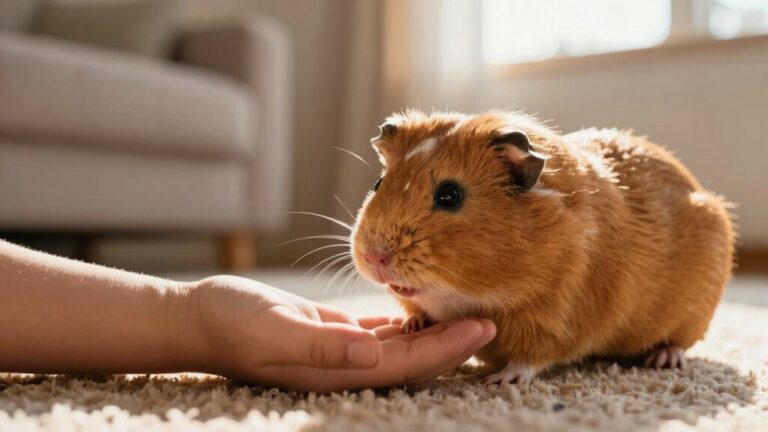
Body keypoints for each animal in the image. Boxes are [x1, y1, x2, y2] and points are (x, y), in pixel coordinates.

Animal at [351, 110, 734, 384]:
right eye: (379, 183)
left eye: (449, 195)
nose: (374, 256)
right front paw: (410, 325)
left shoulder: (555, 315)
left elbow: (531, 356)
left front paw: (499, 381)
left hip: (693, 316)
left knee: (679, 342)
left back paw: (664, 360)